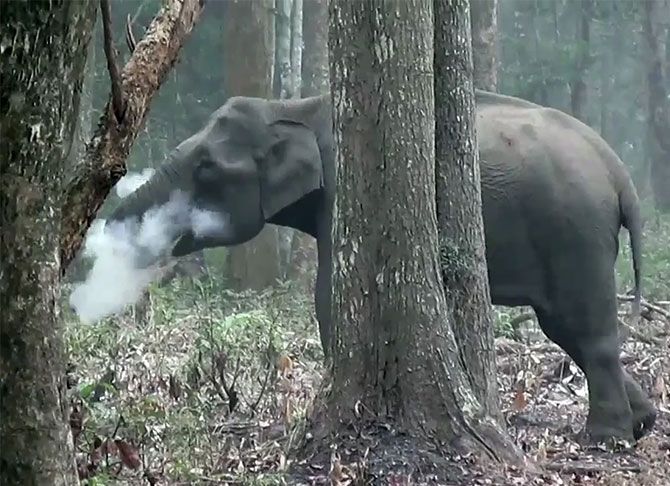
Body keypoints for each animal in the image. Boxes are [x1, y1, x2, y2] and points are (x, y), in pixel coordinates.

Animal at [107, 89, 660, 442]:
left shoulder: (345, 189)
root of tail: (620, 175)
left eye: (206, 169)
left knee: (584, 329)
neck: (294, 106)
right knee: (566, 328)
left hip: (575, 232)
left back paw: (604, 440)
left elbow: (329, 295)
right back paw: (643, 424)